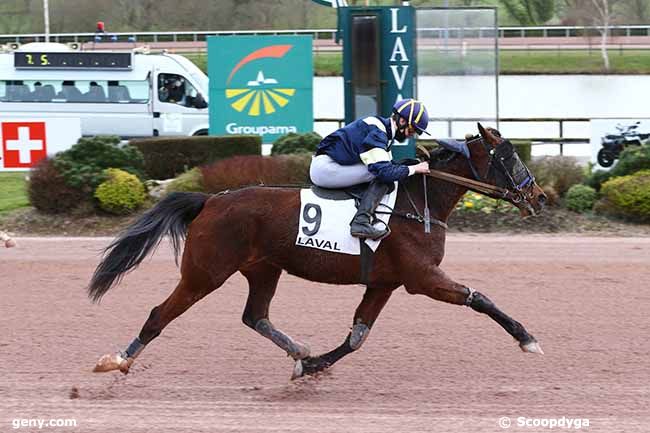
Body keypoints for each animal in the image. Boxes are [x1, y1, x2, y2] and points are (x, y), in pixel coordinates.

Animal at [88, 122, 548, 378]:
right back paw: (117, 360)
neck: (419, 203)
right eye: (509, 158)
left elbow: (357, 336)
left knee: (255, 316)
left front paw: (311, 365)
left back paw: (299, 351)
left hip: (263, 269)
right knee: (159, 315)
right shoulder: (423, 278)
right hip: (205, 272)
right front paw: (527, 338)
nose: (539, 197)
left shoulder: (385, 283)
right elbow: (480, 298)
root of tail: (210, 200)